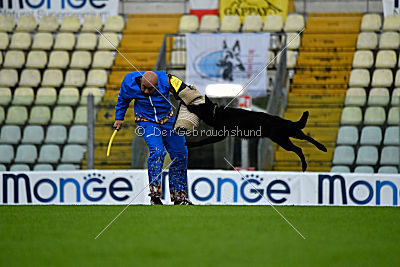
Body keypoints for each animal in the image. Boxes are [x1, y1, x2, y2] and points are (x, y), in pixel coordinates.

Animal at [186, 96, 326, 172]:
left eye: (197, 107)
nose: (187, 105)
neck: (216, 113)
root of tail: (284, 121)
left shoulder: (220, 136)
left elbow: (203, 141)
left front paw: (190, 144)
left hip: (283, 140)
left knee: (299, 148)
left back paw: (308, 161)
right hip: (290, 135)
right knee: (303, 141)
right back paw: (321, 149)